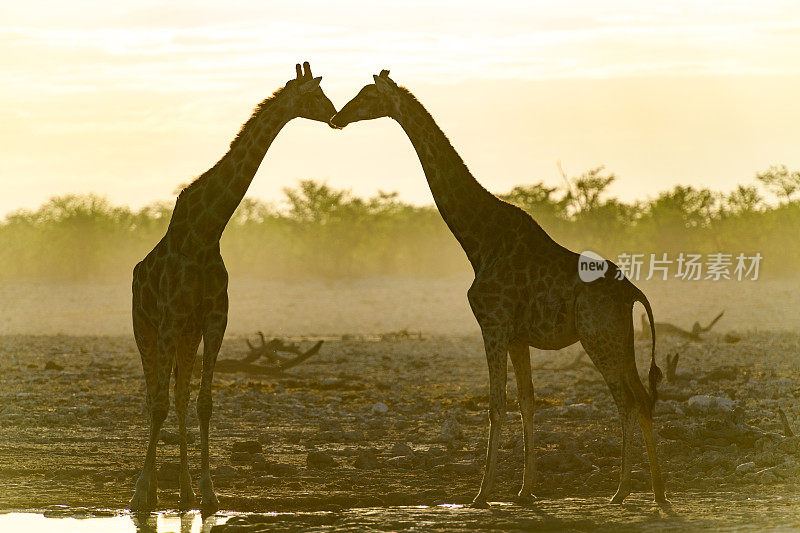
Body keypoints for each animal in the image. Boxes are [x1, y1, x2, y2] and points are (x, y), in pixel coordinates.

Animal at [128, 63, 334, 516]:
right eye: (313, 95)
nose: (333, 115)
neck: (205, 233)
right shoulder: (169, 321)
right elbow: (158, 403)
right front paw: (141, 495)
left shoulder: (214, 320)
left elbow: (203, 404)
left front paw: (208, 494)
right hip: (145, 329)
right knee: (155, 395)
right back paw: (150, 492)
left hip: (186, 336)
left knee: (180, 397)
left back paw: (183, 493)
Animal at [332, 70, 668, 508]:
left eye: (368, 94)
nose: (337, 117)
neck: (479, 240)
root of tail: (633, 293)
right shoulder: (517, 335)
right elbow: (527, 401)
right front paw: (525, 490)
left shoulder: (492, 324)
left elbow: (496, 404)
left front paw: (481, 494)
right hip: (620, 339)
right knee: (639, 398)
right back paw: (644, 491)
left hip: (599, 337)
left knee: (629, 400)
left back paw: (634, 492)